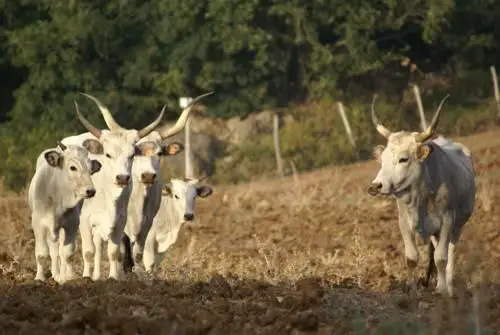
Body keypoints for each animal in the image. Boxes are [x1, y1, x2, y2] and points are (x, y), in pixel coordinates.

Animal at [27, 141, 102, 284]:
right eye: (73, 167)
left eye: (90, 170)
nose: (91, 191)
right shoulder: (38, 224)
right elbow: (41, 253)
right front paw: (39, 278)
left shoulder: (71, 224)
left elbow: (67, 253)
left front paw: (67, 278)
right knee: (54, 251)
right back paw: (55, 273)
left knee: (60, 252)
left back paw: (61, 274)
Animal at [61, 93, 167, 280]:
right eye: (108, 154)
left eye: (132, 155)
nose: (122, 177)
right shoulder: (85, 219)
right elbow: (88, 252)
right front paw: (86, 278)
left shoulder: (120, 221)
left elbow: (113, 252)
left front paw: (113, 278)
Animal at [122, 91, 214, 272]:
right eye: (176, 196)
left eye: (194, 196)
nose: (188, 215)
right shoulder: (149, 242)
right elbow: (147, 264)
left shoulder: (161, 250)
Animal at [368, 94, 476, 296]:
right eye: (382, 159)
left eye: (403, 159)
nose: (376, 186)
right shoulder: (404, 222)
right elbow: (411, 257)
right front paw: (411, 289)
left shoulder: (447, 220)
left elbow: (441, 258)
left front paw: (441, 290)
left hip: (457, 226)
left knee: (450, 252)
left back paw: (449, 286)